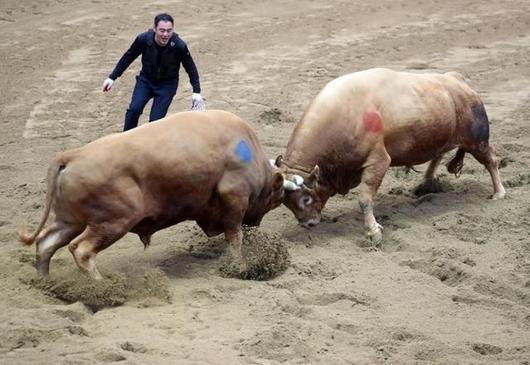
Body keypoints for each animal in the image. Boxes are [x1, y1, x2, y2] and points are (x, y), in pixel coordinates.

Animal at [19, 109, 284, 278]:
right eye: (274, 199)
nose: (255, 224)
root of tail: (72, 156)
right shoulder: (234, 197)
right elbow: (234, 236)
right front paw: (241, 265)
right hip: (112, 222)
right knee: (82, 251)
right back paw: (101, 287)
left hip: (70, 221)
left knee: (46, 243)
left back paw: (45, 282)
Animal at [276, 67, 504, 243]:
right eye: (285, 202)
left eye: (306, 198)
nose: (307, 223)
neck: (348, 113)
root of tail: (456, 79)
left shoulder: (378, 161)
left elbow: (365, 200)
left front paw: (373, 232)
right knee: (437, 155)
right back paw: (427, 184)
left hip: (477, 141)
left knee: (491, 160)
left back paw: (499, 193)